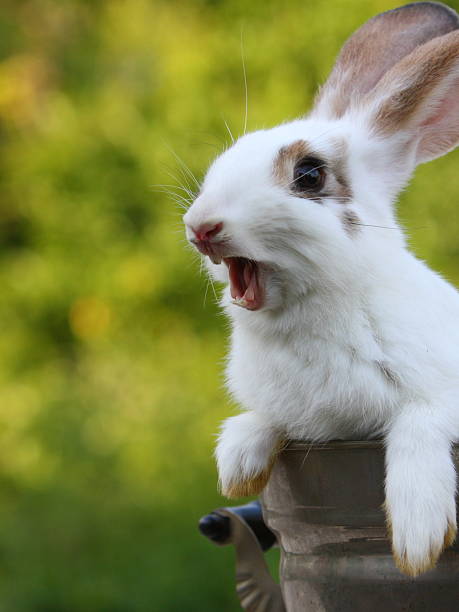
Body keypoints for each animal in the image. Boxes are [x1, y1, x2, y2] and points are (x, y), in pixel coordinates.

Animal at [182, 2, 459, 576]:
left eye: (309, 175)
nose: (201, 227)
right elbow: (265, 420)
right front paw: (237, 460)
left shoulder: (442, 391)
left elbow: (420, 420)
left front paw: (418, 536)